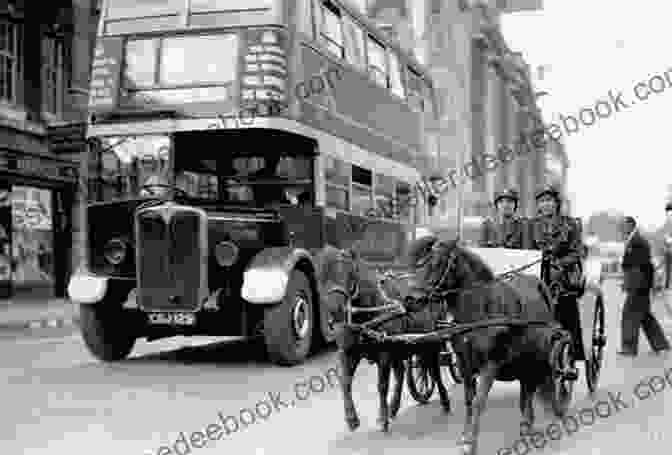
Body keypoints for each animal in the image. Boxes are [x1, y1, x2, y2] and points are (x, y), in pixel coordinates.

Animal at [316, 246, 452, 434]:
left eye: (347, 273)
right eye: (320, 276)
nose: (335, 310)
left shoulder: (385, 353)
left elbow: (381, 386)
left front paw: (382, 418)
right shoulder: (348, 351)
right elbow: (345, 381)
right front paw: (352, 418)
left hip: (430, 343)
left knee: (434, 370)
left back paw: (444, 400)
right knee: (402, 372)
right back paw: (393, 407)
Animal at [406, 237, 576, 455]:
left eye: (437, 263)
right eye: (420, 263)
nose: (410, 299)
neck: (481, 311)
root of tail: (540, 284)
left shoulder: (491, 364)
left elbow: (479, 401)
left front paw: (471, 442)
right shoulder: (465, 364)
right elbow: (470, 400)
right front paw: (465, 437)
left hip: (542, 355)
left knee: (540, 385)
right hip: (526, 360)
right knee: (526, 392)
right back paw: (526, 428)